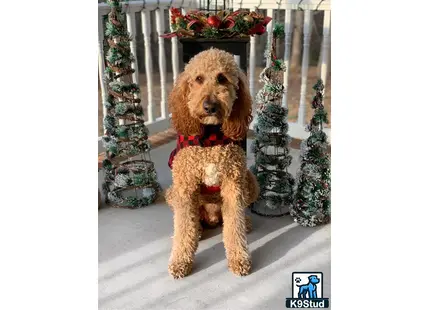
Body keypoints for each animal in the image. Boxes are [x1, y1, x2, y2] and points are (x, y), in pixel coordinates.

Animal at [165, 47, 258, 278]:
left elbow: (235, 225)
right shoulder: (185, 186)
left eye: (222, 78)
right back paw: (197, 229)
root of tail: (212, 217)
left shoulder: (233, 184)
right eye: (198, 79)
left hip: (250, 182)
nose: (209, 106)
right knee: (190, 220)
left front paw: (239, 258)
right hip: (172, 193)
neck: (210, 137)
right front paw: (180, 261)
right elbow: (183, 228)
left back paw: (246, 222)